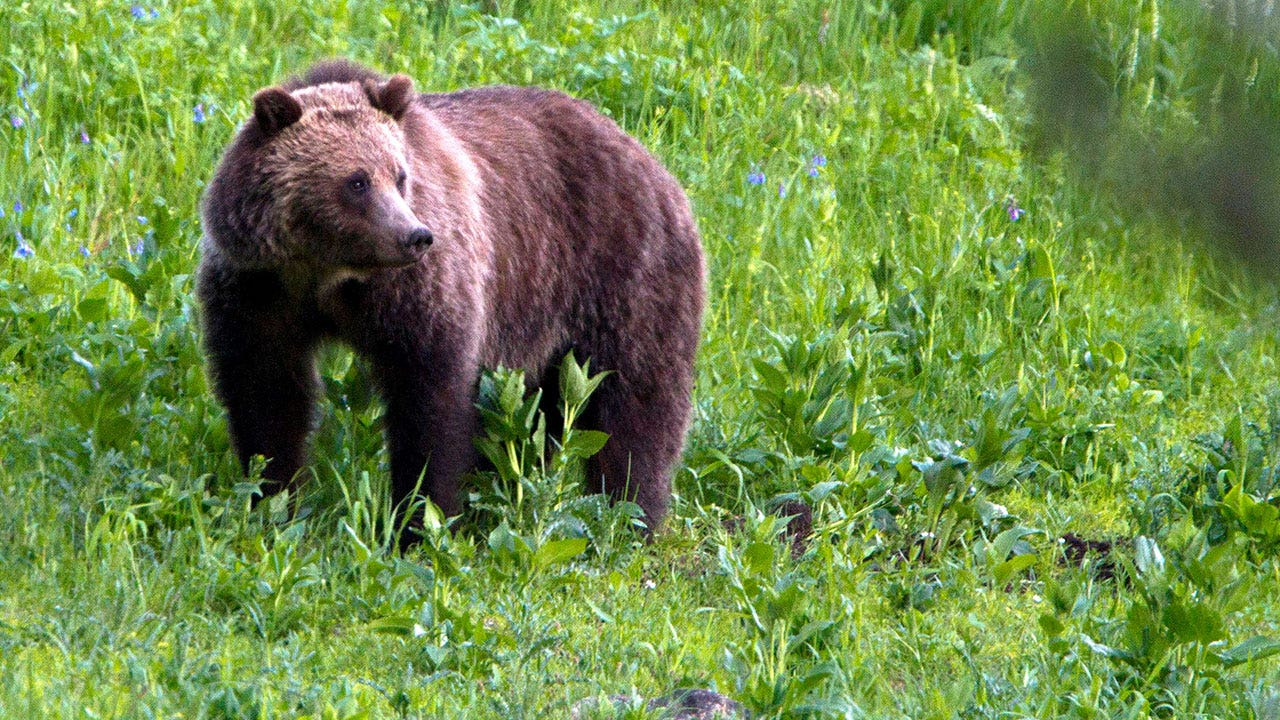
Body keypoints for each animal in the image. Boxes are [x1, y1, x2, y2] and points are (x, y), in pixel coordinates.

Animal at [194, 60, 706, 532]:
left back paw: (631, 515)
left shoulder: (419, 293)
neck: (327, 274)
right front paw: (272, 501)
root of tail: (649, 158)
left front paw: (420, 518)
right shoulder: (259, 290)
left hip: (621, 274)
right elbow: (266, 394)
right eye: (357, 181)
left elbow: (430, 402)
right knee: (538, 415)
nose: (415, 236)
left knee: (636, 402)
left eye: (399, 175)